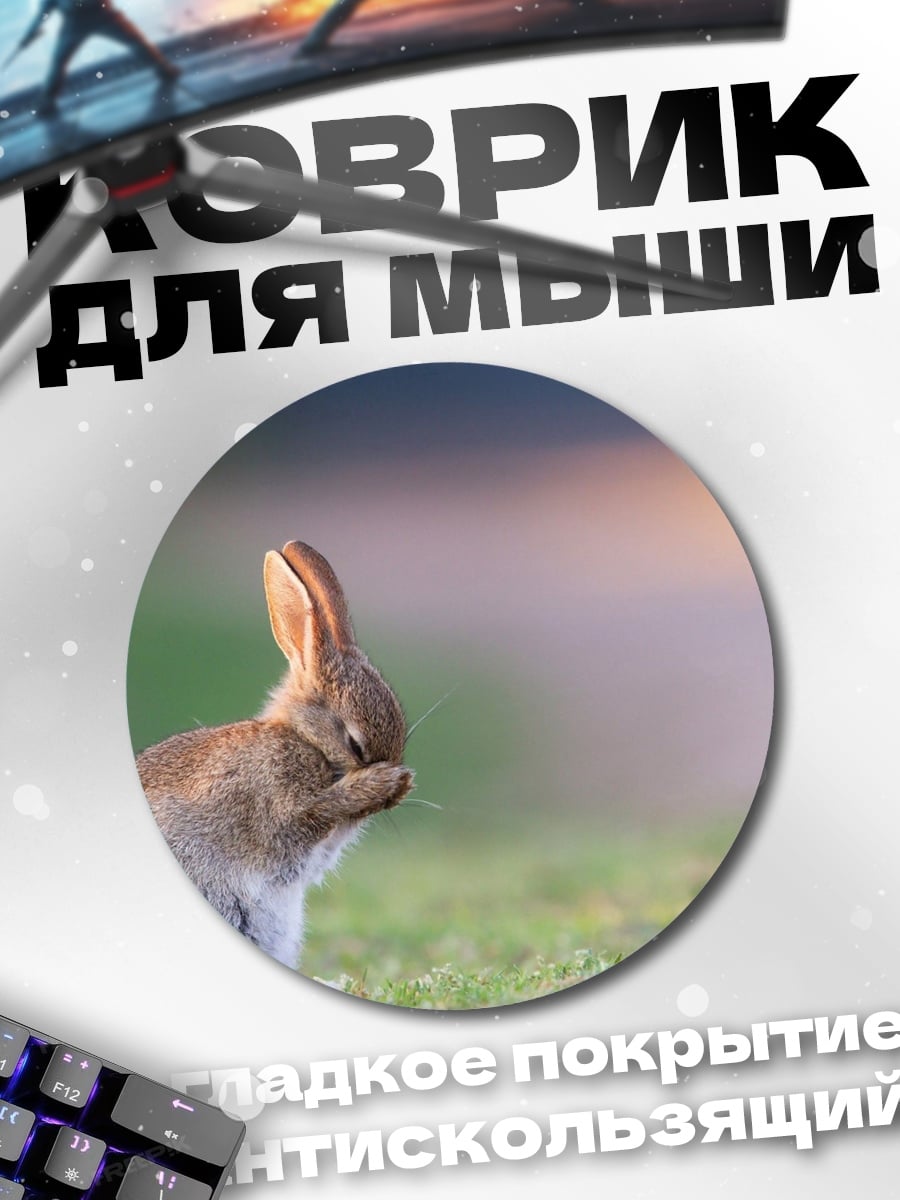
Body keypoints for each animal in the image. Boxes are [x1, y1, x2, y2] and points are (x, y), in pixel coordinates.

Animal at [136, 540, 414, 968]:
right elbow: (313, 813)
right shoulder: (280, 807)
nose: (397, 789)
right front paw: (382, 783)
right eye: (355, 745)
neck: (304, 739)